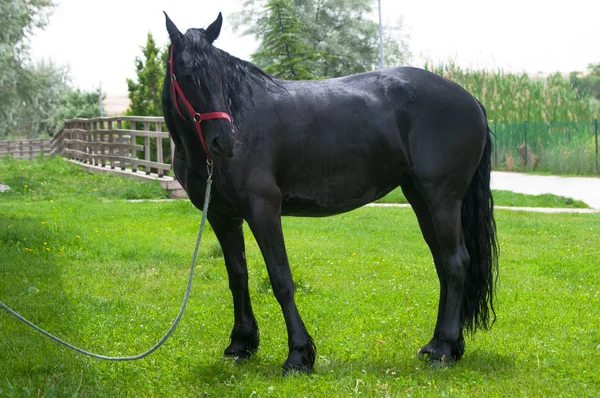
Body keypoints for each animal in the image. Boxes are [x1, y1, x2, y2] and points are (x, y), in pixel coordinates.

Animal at [161, 12, 496, 374]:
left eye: (222, 77)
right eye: (186, 75)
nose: (224, 141)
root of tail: (470, 99)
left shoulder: (263, 209)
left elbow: (281, 279)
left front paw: (298, 355)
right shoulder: (223, 216)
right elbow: (238, 276)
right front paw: (241, 344)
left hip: (442, 199)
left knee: (456, 262)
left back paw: (444, 349)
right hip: (421, 198)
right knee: (443, 265)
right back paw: (438, 344)